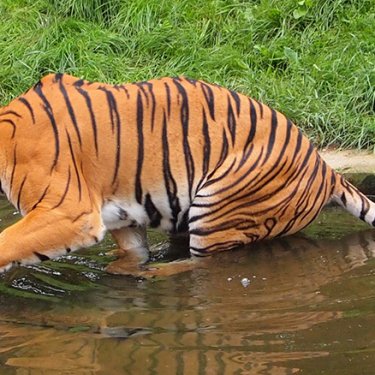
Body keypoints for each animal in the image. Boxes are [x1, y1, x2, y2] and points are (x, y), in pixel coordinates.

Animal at [0, 74, 374, 276]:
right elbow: (133, 251)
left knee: (208, 265)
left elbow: (7, 243)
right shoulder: (120, 218)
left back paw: (158, 274)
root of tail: (326, 169)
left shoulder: (68, 213)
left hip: (217, 205)